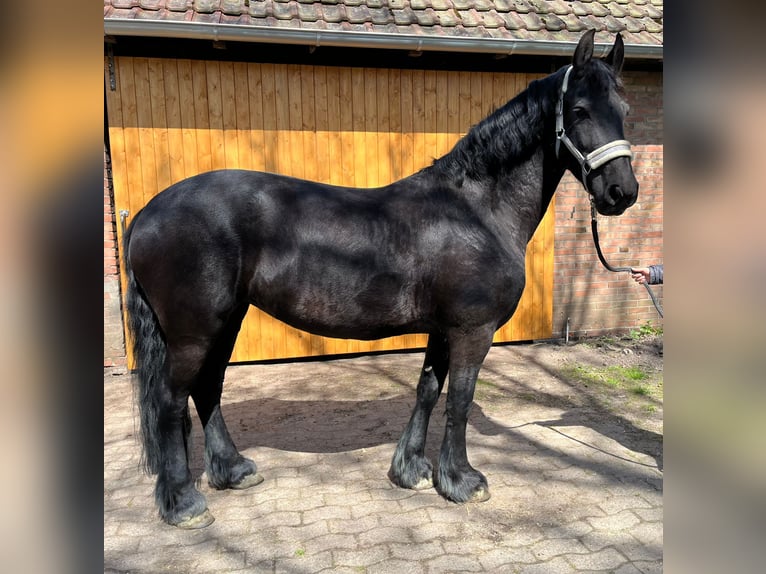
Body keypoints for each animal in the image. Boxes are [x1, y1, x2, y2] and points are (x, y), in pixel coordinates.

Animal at [122, 30, 638, 529]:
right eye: (579, 110)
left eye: (625, 111)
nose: (622, 192)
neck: (476, 210)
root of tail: (146, 213)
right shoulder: (472, 330)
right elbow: (460, 399)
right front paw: (461, 480)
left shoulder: (443, 329)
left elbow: (428, 390)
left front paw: (412, 470)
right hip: (194, 332)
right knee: (171, 401)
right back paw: (183, 504)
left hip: (226, 321)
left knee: (207, 389)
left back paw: (232, 471)